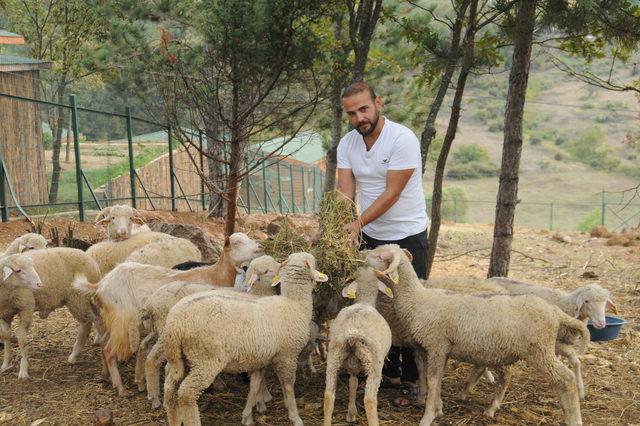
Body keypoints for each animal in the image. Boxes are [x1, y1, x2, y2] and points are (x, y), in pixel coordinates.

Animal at [0, 248, 100, 378]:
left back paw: (74, 355)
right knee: (97, 316)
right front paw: (6, 364)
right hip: (86, 298)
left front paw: (23, 371)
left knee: (86, 323)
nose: (39, 284)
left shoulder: (27, 307)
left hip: (78, 298)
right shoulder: (5, 313)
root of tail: (93, 263)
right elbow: (6, 336)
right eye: (18, 270)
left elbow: (21, 338)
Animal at [74, 233, 262, 396]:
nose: (259, 247)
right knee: (108, 349)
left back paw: (106, 376)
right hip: (122, 321)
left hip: (112, 320)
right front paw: (216, 383)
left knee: (103, 343)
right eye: (237, 242)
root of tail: (100, 284)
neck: (213, 276)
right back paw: (120, 387)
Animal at [162, 251, 328, 426]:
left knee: (170, 387)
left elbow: (255, 385)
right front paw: (295, 416)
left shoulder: (259, 358)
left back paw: (174, 418)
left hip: (179, 358)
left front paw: (248, 416)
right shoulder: (287, 356)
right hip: (205, 360)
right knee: (186, 393)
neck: (295, 303)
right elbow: (288, 386)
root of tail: (176, 324)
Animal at [322, 266, 392, 426]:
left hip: (334, 357)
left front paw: (351, 413)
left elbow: (352, 384)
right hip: (374, 364)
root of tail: (353, 332)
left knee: (328, 396)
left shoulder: (352, 366)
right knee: (370, 400)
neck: (365, 301)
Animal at [368, 246, 588, 426]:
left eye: (379, 255)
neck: (417, 299)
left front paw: (427, 417)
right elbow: (437, 382)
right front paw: (438, 409)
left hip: (540, 351)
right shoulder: (441, 350)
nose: (362, 256)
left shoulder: (436, 345)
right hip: (524, 350)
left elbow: (432, 381)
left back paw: (574, 418)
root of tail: (555, 312)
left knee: (566, 378)